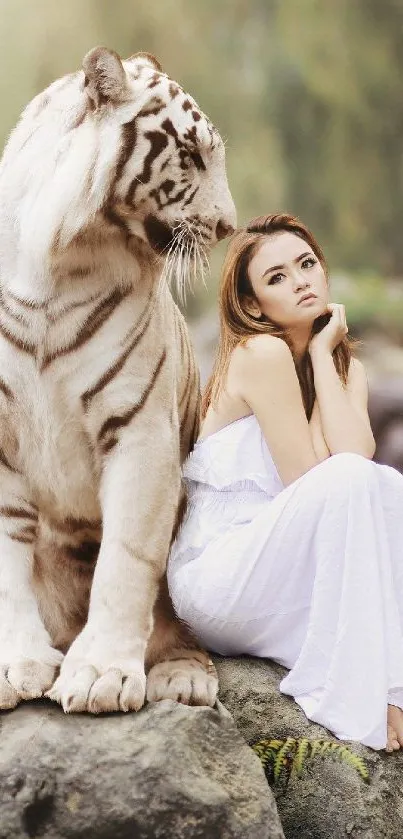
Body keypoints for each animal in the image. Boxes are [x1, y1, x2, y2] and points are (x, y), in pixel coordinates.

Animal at [0, 47, 237, 716]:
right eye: (192, 155)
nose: (229, 226)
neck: (55, 263)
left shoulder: (140, 431)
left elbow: (126, 560)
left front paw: (100, 675)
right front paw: (17, 666)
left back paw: (182, 678)